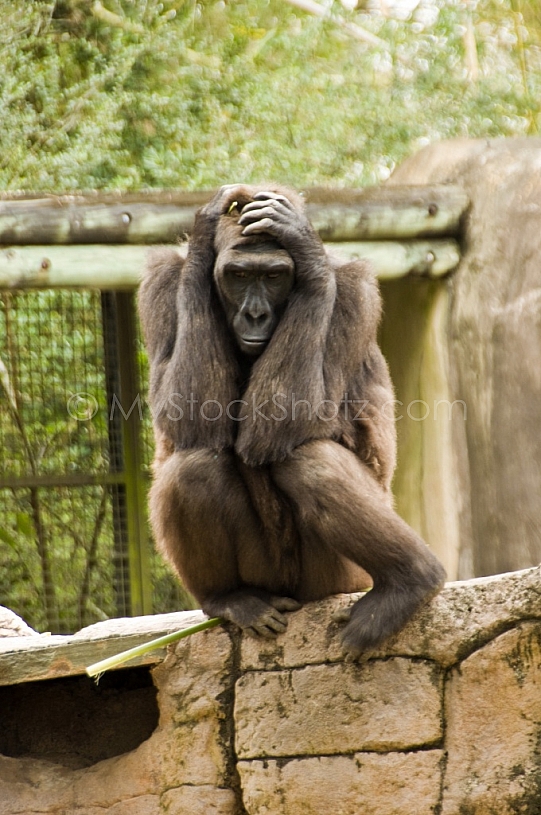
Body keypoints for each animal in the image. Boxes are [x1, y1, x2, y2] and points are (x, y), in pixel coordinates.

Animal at [138, 184, 446, 657]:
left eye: (274, 276)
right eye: (239, 275)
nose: (255, 315)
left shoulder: (355, 289)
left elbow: (294, 416)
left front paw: (306, 247)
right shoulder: (160, 281)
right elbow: (187, 415)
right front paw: (203, 238)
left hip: (337, 581)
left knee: (310, 461)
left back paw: (410, 580)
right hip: (267, 580)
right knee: (194, 467)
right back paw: (230, 597)